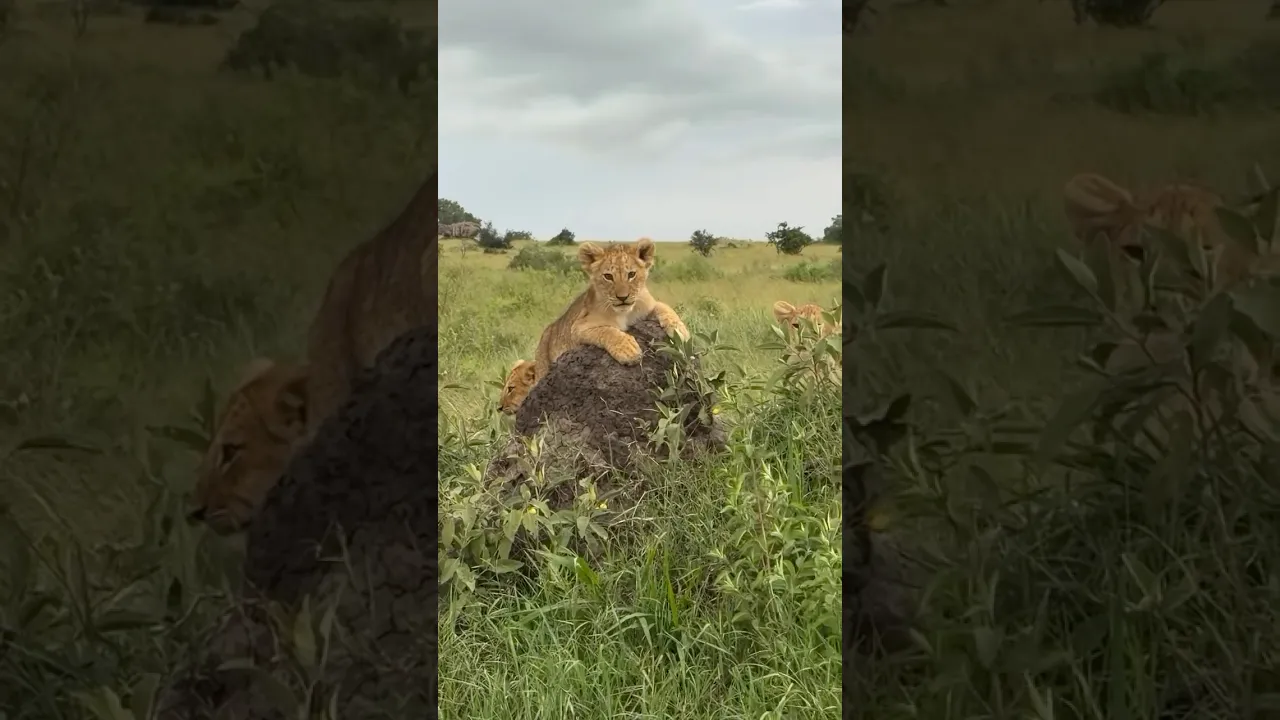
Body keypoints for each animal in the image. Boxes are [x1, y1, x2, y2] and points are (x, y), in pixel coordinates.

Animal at [533, 238, 689, 382]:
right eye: (608, 276)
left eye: (631, 274)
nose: (623, 297)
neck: (624, 313)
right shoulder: (577, 328)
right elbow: (608, 331)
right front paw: (629, 350)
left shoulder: (647, 307)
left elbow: (664, 307)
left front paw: (680, 331)